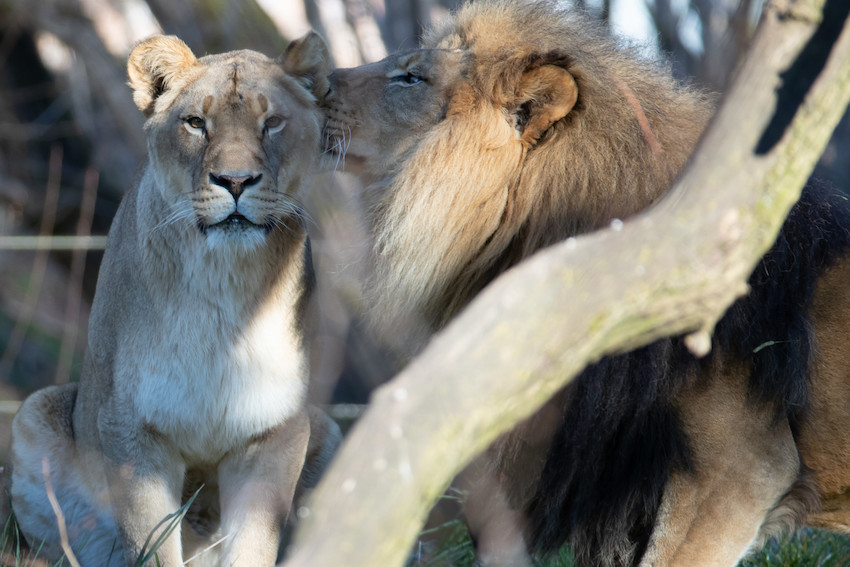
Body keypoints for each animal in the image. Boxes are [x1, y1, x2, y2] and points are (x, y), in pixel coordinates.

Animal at [9, 33, 338, 564]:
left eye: (272, 123)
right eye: (196, 123)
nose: (236, 181)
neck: (223, 281)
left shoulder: (277, 428)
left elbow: (253, 544)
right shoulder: (131, 428)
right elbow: (154, 544)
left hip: (328, 429)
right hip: (33, 414)